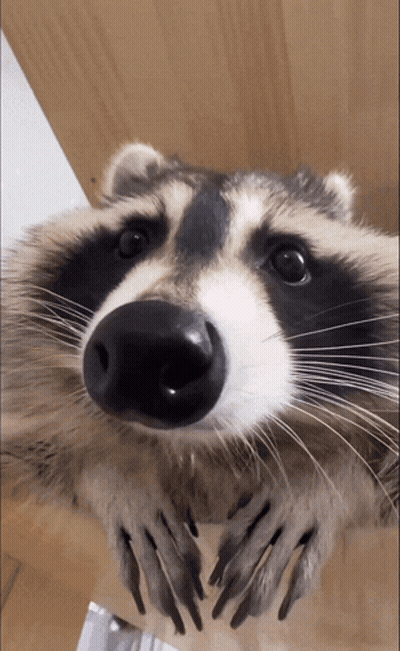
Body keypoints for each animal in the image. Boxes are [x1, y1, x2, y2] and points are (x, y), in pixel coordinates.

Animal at [2, 143, 398, 634]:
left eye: (290, 261)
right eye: (131, 241)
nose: (148, 345)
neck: (202, 450)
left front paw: (328, 477)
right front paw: (109, 470)